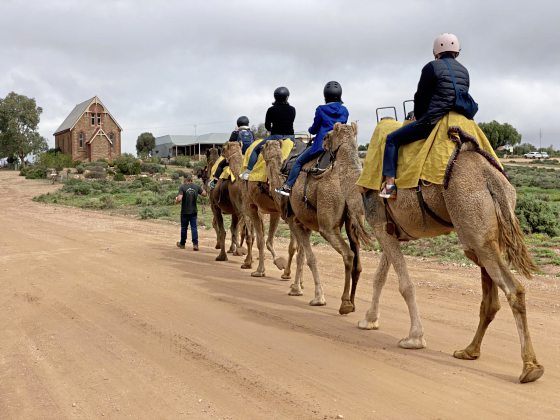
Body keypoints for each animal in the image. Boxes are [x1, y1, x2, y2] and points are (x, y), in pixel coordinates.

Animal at [260, 123, 370, 314]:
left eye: (266, 146)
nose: (260, 147)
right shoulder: (305, 224)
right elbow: (301, 254)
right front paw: (297, 286)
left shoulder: (294, 222)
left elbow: (308, 257)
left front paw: (315, 296)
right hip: (354, 221)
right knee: (357, 260)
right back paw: (352, 303)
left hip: (328, 224)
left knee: (348, 254)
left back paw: (345, 304)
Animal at [356, 126, 544, 382]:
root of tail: (491, 178)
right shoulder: (393, 231)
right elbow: (380, 277)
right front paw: (369, 320)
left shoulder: (379, 225)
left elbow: (404, 284)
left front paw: (414, 338)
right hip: (486, 233)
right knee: (491, 298)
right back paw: (469, 351)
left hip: (472, 227)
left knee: (513, 289)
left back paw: (530, 368)